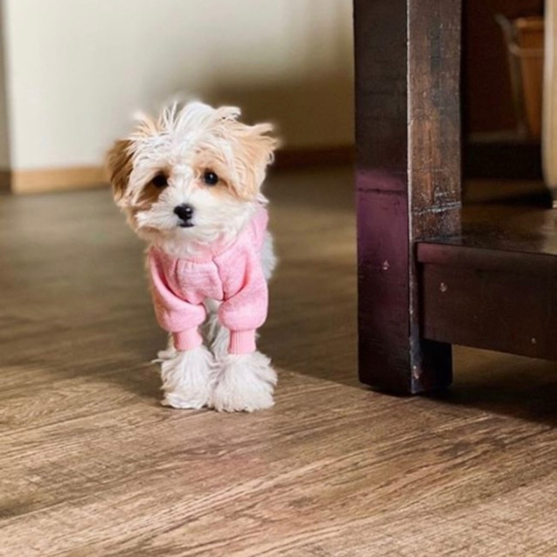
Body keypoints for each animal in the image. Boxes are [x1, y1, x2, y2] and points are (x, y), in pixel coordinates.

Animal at [105, 101, 276, 412]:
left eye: (211, 177)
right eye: (159, 180)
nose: (183, 209)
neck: (200, 252)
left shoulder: (245, 292)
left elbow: (237, 335)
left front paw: (239, 391)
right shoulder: (171, 298)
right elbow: (187, 339)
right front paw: (189, 389)